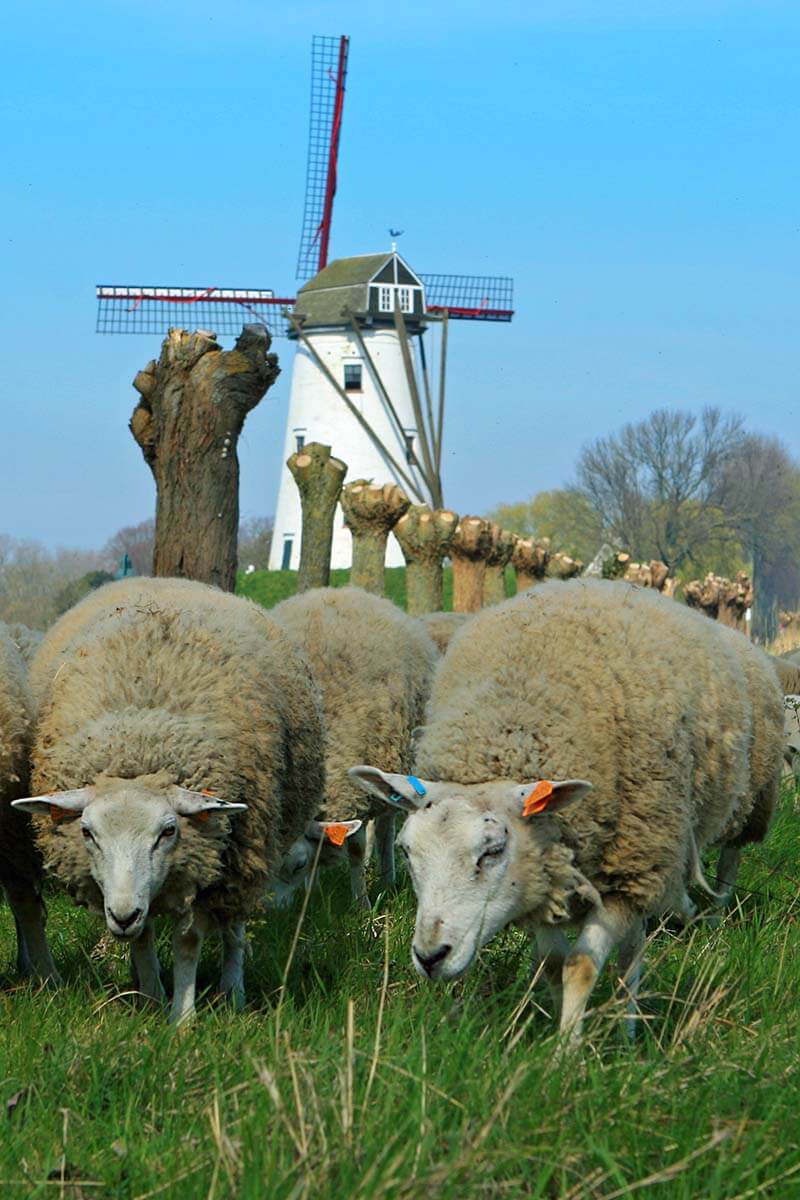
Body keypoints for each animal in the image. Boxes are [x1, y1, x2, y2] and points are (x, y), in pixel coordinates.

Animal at [13, 576, 326, 1017]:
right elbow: (143, 937)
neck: (141, 742)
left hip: (248, 848)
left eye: (168, 832)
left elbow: (189, 941)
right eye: (88, 833)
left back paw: (232, 992)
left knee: (234, 926)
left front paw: (182, 1015)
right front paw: (150, 997)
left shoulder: (207, 863)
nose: (122, 915)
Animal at [272, 585, 438, 902]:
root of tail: (341, 590)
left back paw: (386, 877)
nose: (269, 910)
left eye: (297, 864)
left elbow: (357, 850)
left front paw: (361, 903)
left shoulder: (353, 790)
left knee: (384, 827)